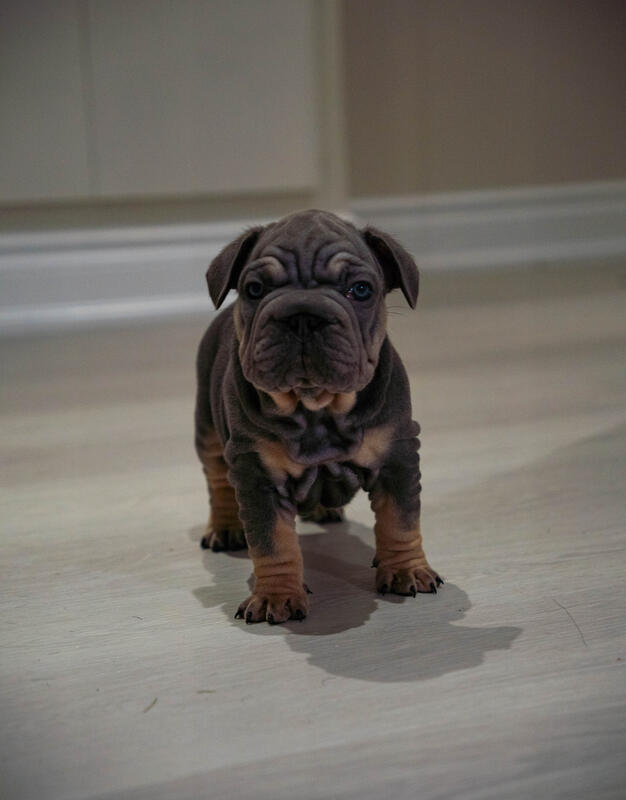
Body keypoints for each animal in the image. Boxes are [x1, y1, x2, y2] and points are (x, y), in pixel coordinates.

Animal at [195, 209, 442, 624]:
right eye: (255, 289)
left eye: (360, 290)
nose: (303, 316)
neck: (316, 406)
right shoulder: (257, 475)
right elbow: (273, 543)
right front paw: (276, 596)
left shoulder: (398, 457)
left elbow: (401, 520)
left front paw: (407, 569)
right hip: (209, 431)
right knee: (217, 480)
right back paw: (227, 526)